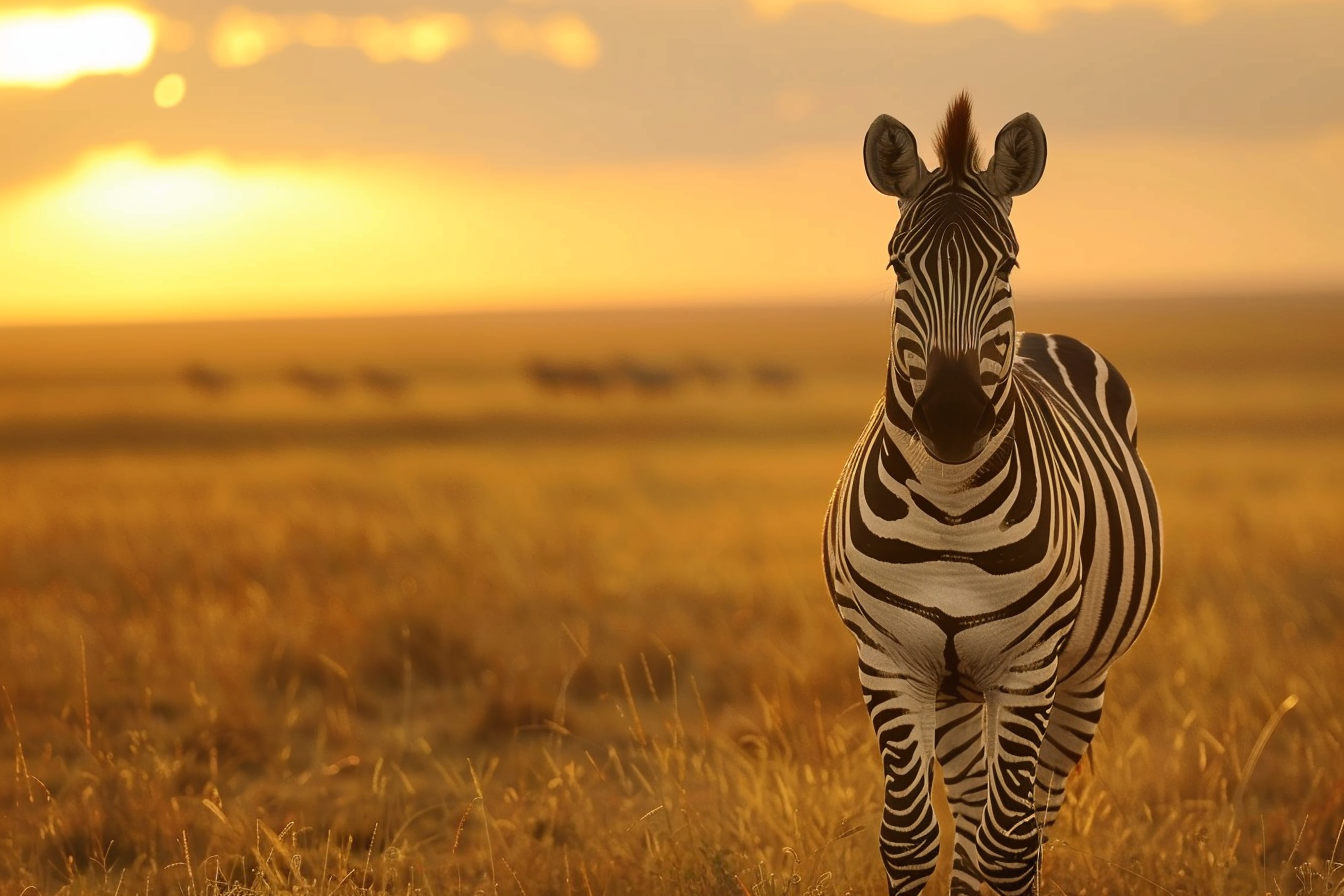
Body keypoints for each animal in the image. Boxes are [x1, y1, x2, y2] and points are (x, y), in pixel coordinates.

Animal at [823, 93, 1162, 896]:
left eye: (1005, 265)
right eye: (898, 265)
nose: (951, 418)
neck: (951, 509)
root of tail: (1045, 337)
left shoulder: (1028, 666)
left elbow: (1011, 850)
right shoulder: (891, 661)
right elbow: (911, 839)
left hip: (1081, 679)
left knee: (1027, 823)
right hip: (953, 688)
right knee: (975, 817)